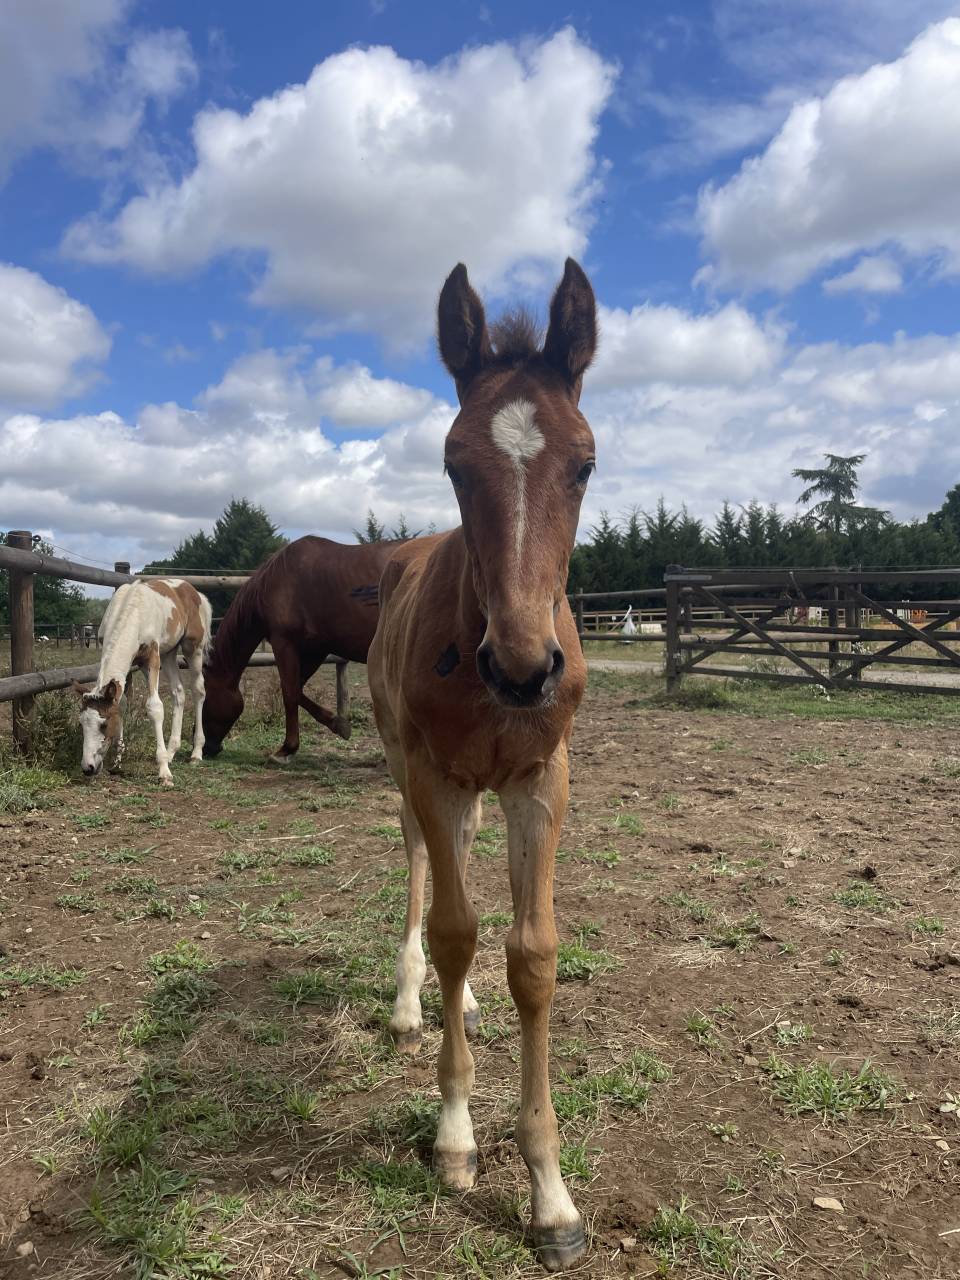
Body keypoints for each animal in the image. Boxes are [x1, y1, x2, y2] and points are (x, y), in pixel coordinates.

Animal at [74, 579, 212, 786]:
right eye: (82, 724)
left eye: (103, 725)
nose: (88, 767)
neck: (134, 611)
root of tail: (195, 592)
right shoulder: (131, 664)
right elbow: (122, 703)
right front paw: (117, 761)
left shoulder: (151, 658)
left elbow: (154, 707)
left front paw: (164, 772)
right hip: (168, 653)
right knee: (178, 691)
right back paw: (171, 752)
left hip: (192, 648)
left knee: (198, 691)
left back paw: (196, 753)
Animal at [201, 537, 401, 762]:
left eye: (204, 698)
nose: (206, 748)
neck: (275, 582)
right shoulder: (315, 650)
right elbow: (298, 690)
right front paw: (338, 724)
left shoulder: (284, 643)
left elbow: (289, 692)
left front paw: (286, 749)